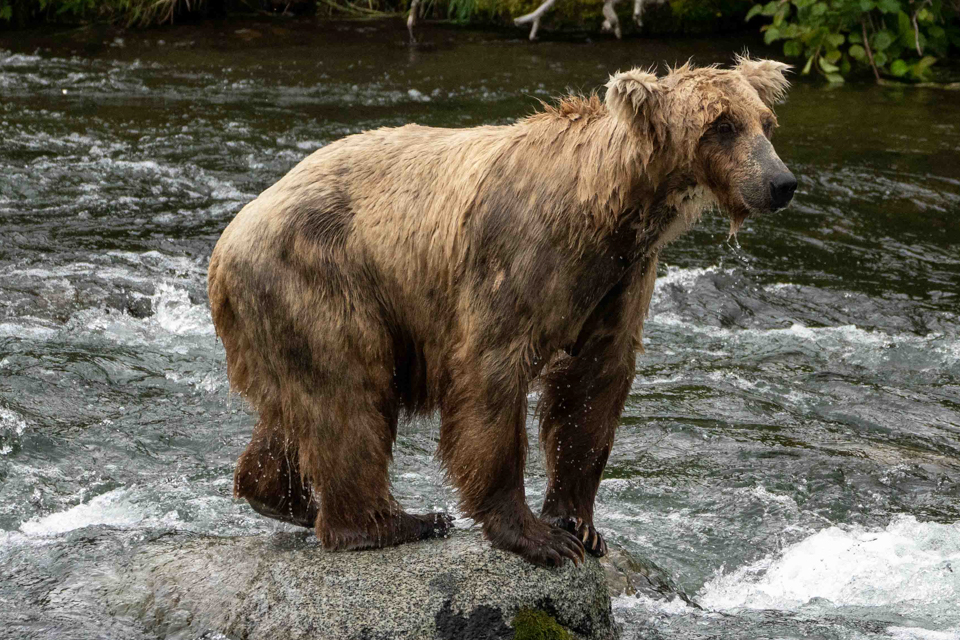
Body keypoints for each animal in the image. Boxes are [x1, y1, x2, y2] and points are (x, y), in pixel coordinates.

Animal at [208, 57, 796, 567]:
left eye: (765, 122)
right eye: (722, 125)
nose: (782, 183)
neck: (610, 211)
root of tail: (226, 242)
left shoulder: (619, 282)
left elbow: (593, 388)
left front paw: (581, 524)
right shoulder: (516, 259)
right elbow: (492, 378)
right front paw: (537, 536)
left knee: (298, 403)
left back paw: (285, 498)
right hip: (321, 276)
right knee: (349, 389)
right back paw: (397, 522)